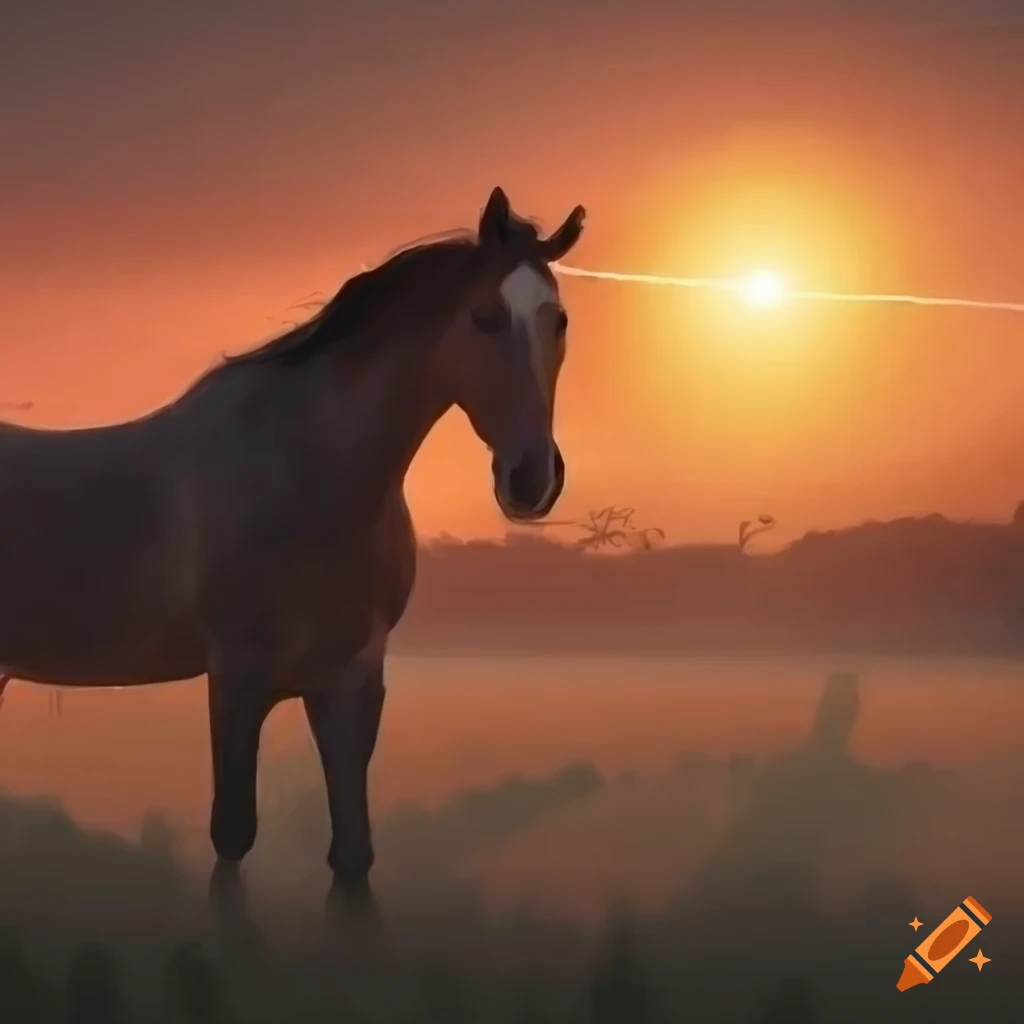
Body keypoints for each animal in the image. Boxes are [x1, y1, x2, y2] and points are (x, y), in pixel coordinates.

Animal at [0, 186, 585, 914]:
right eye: (485, 318)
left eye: (558, 319)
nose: (531, 480)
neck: (307, 468)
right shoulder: (237, 679)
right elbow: (232, 836)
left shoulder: (351, 680)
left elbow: (353, 854)